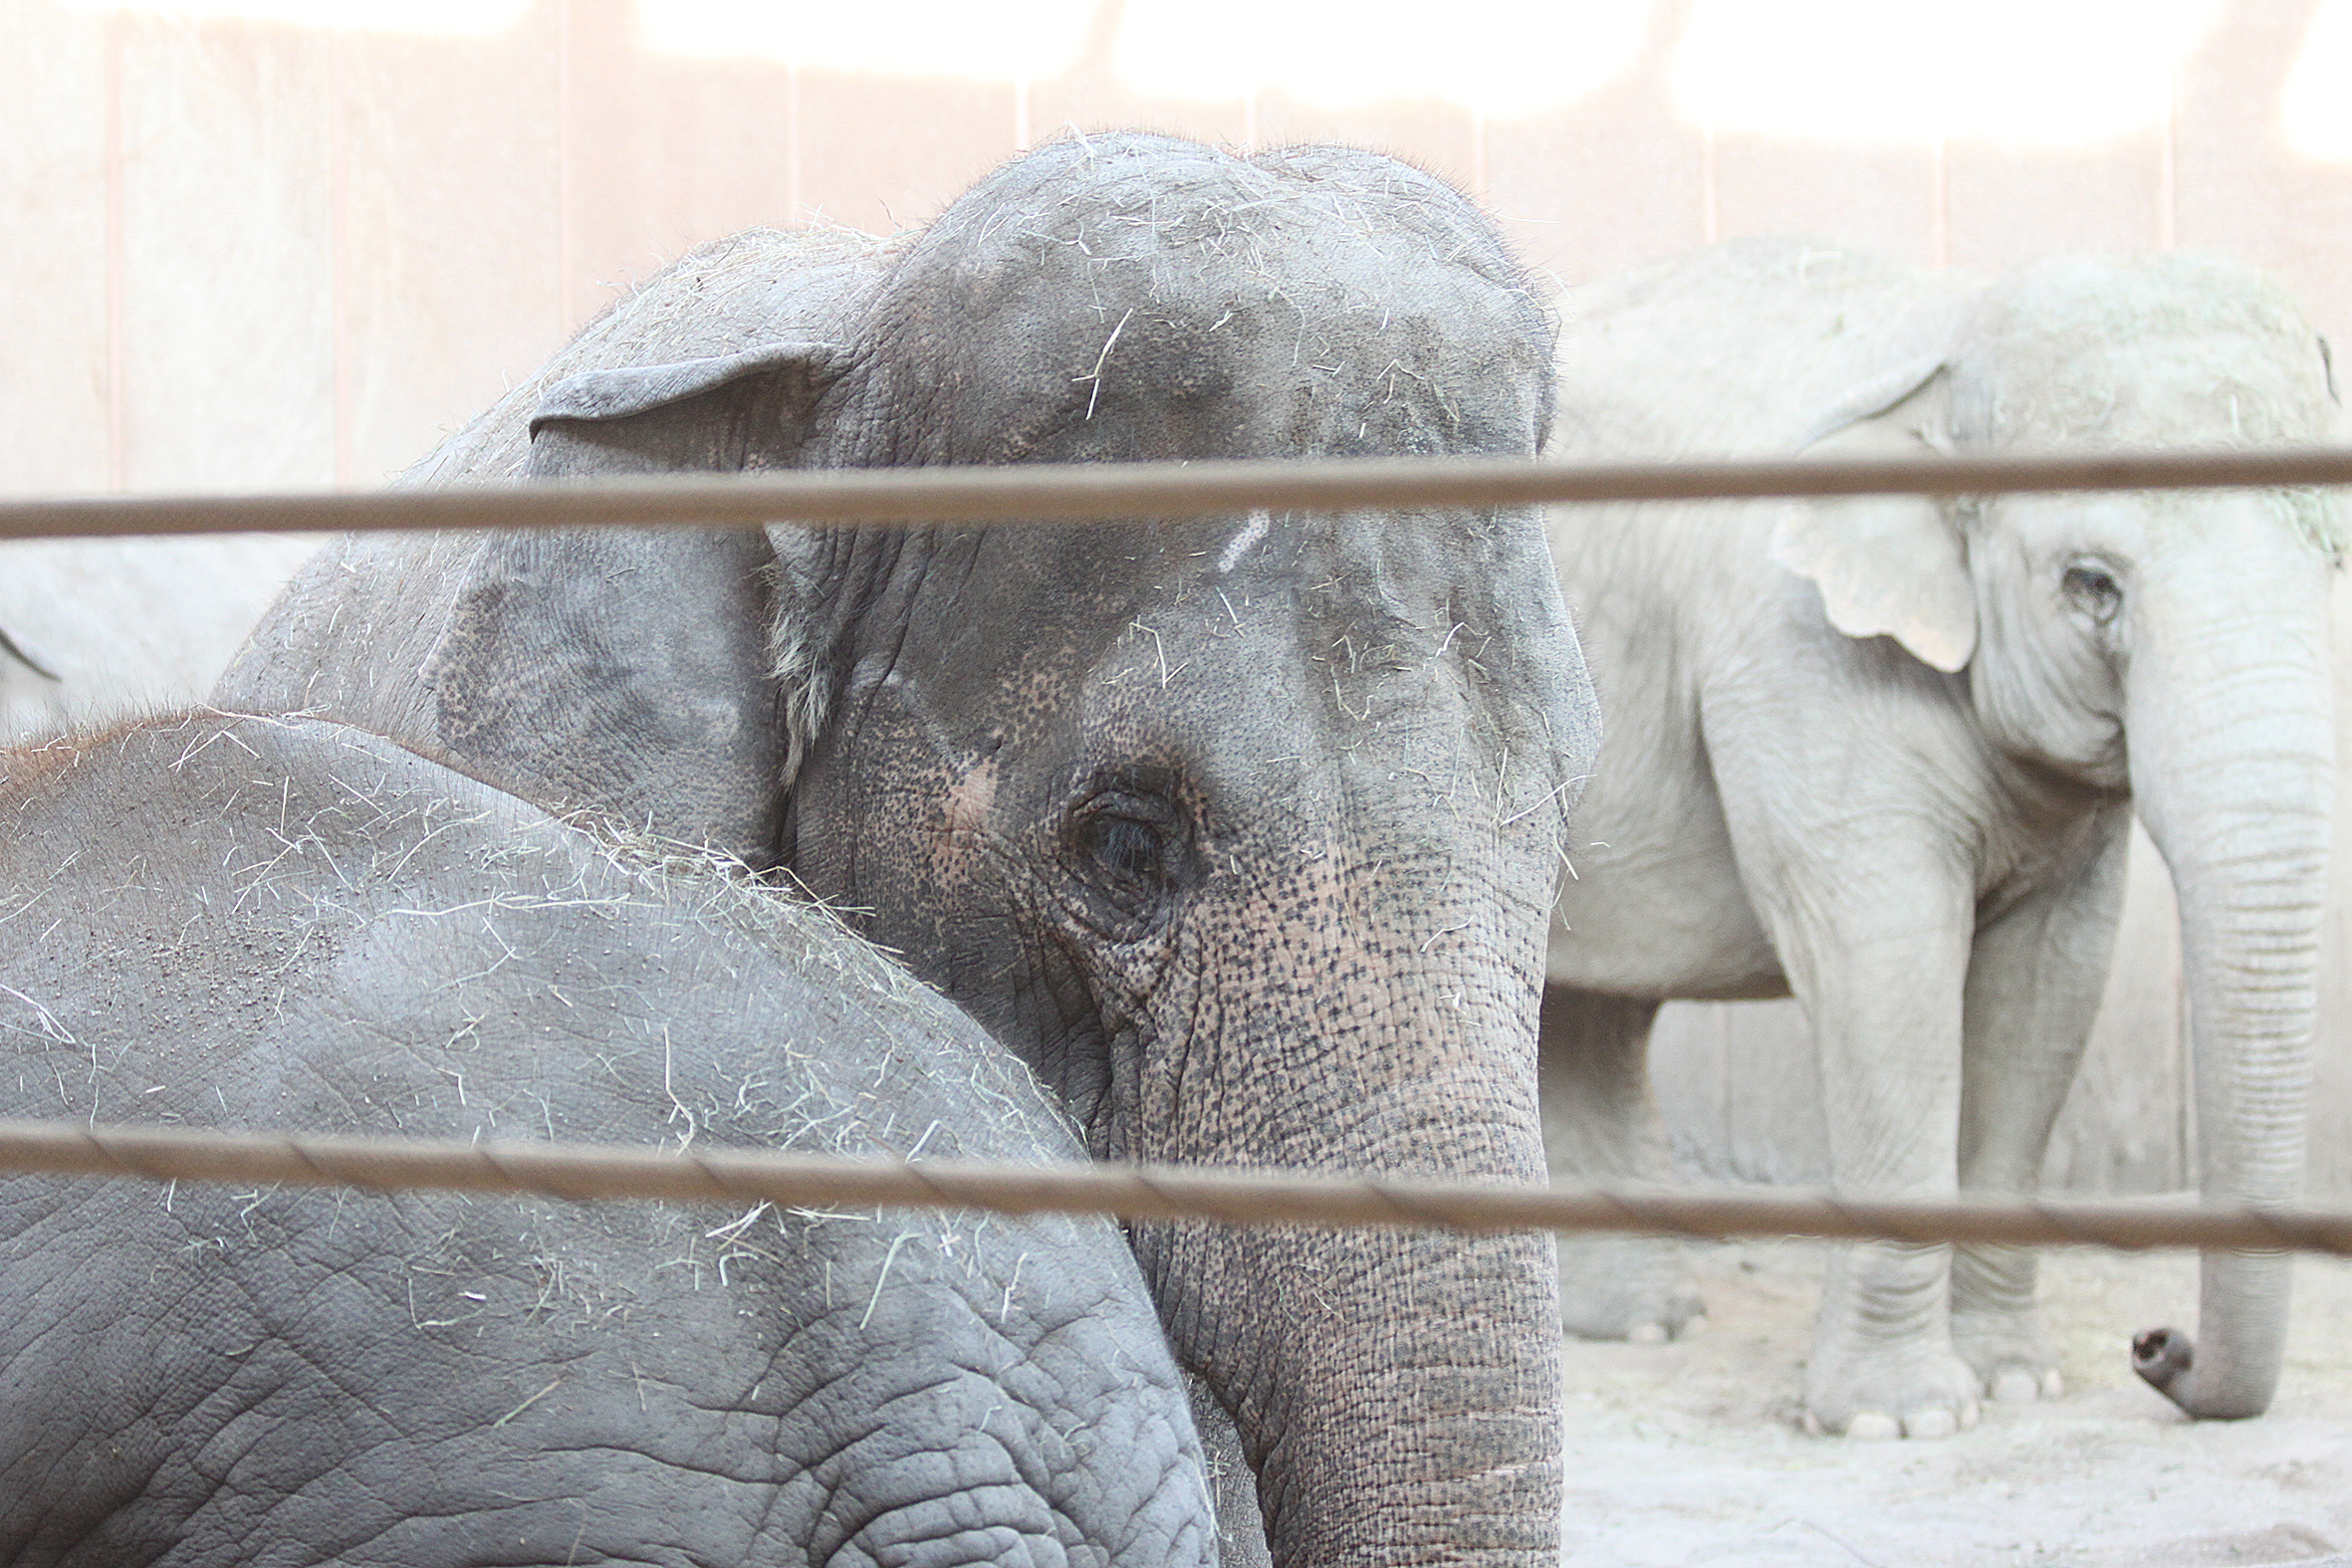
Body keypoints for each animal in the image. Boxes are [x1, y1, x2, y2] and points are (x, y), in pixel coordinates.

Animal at [1542, 236, 2333, 1448]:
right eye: (2091, 586)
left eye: (2335, 554)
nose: (2158, 1347)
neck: (1947, 344)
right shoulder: (1801, 660)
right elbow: (1889, 970)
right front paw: (1895, 1420)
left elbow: (2045, 989)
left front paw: (2016, 1382)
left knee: (1588, 1008)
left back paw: (1634, 1324)